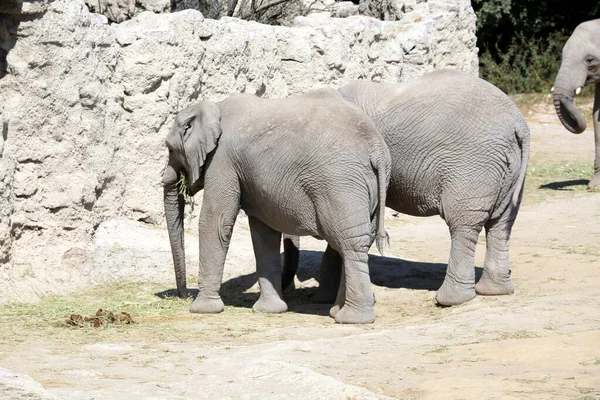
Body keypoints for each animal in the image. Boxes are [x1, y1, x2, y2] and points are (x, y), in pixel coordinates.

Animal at [162, 88, 392, 324]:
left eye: (169, 149)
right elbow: (264, 233)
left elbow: (216, 222)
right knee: (355, 241)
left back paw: (352, 319)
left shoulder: (223, 159)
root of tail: (377, 151)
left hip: (340, 185)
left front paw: (202, 309)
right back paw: (337, 312)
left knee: (350, 243)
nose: (182, 295)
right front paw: (269, 310)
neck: (214, 107)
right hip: (368, 188)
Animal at [280, 69, 528, 306]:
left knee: (464, 224)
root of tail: (518, 123)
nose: (287, 289)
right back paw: (494, 291)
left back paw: (449, 300)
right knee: (501, 222)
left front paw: (323, 299)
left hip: (473, 165)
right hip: (507, 166)